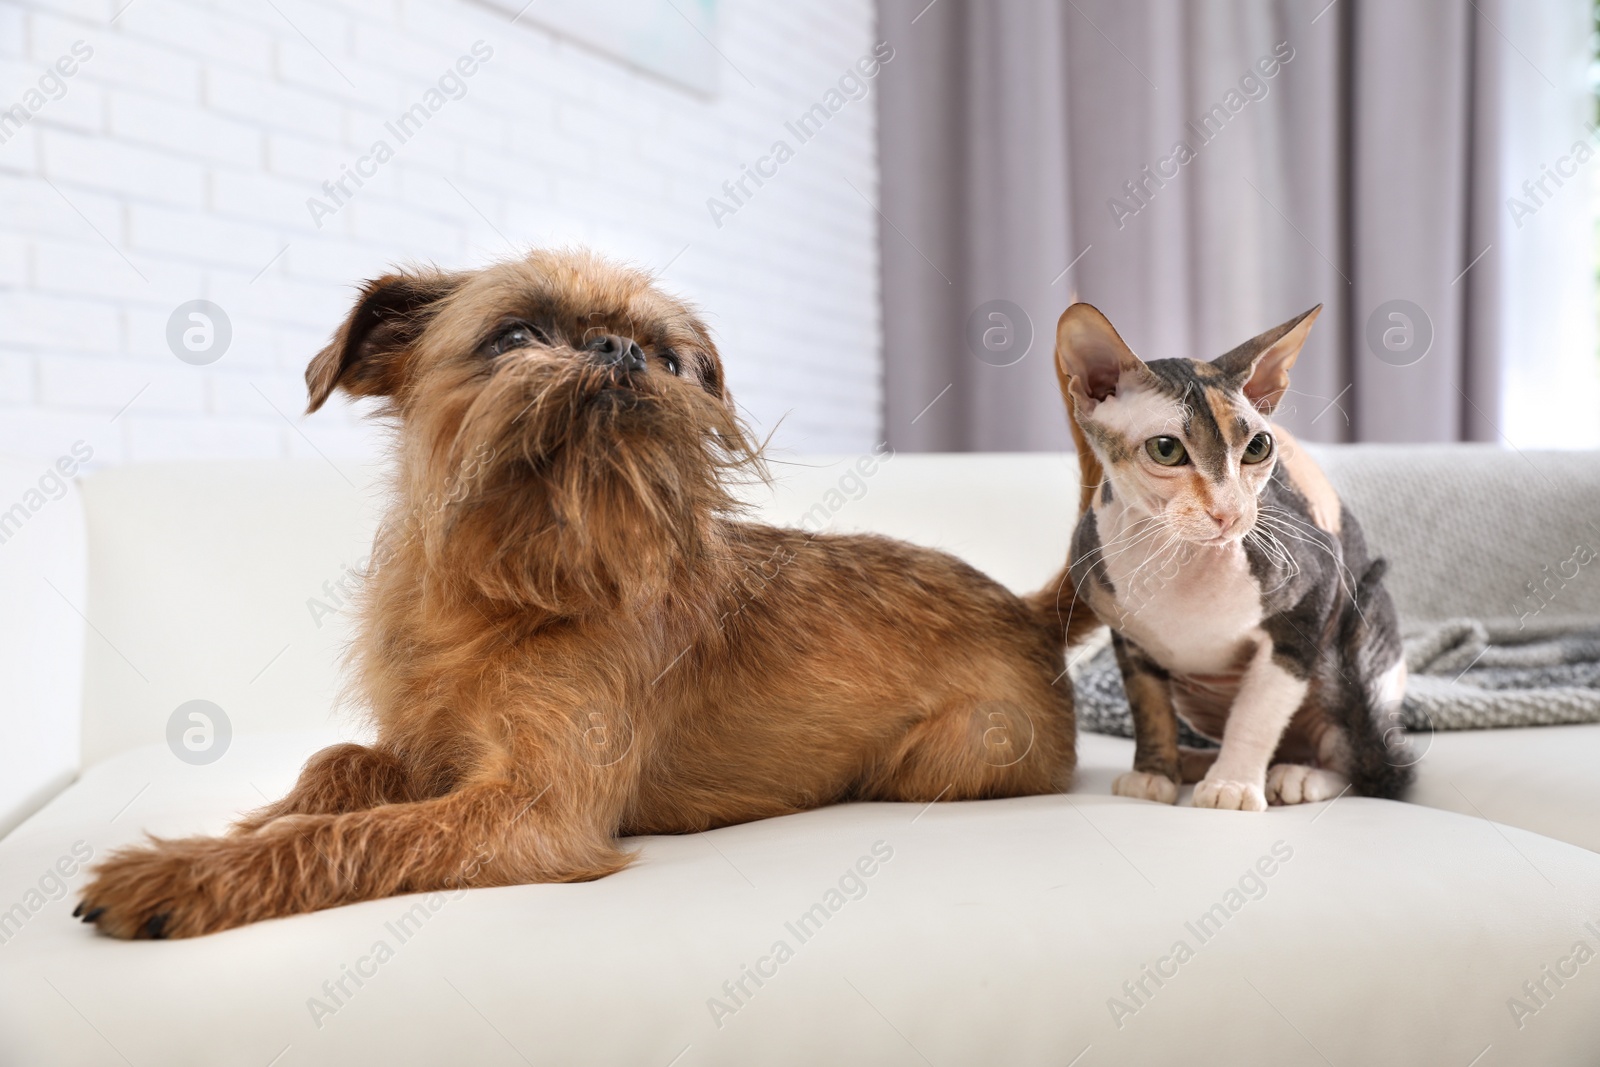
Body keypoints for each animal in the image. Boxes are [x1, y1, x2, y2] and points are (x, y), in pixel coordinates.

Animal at [78, 247, 1100, 934]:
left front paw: (187, 873)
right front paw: (249, 821)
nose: (620, 349)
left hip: (945, 757)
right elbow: (337, 767)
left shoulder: (529, 813)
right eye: (514, 336)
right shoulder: (426, 748)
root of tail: (1027, 609)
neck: (505, 588)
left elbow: (363, 834)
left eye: (673, 358)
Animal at [1049, 300, 1414, 809]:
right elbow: (1149, 707)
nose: (1231, 512)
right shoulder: (1128, 638)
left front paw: (1233, 785)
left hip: (1355, 638)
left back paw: (1299, 776)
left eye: (1258, 447)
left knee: (1362, 764)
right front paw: (1153, 773)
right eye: (1166, 449)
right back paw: (1192, 761)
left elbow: (1257, 712)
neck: (1175, 556)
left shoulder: (1310, 600)